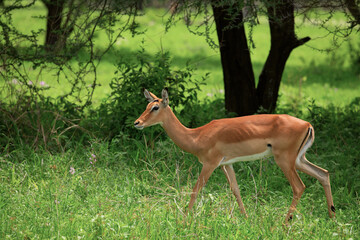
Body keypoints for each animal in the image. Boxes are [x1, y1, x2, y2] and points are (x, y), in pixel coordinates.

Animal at [134, 89, 336, 222]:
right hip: (299, 160)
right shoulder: (226, 164)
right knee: (323, 173)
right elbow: (236, 189)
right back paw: (332, 217)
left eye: (155, 107)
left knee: (299, 186)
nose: (137, 123)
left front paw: (184, 220)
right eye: (147, 104)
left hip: (285, 161)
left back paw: (285, 223)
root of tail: (307, 125)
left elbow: (196, 188)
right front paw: (246, 219)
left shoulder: (210, 164)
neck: (197, 136)